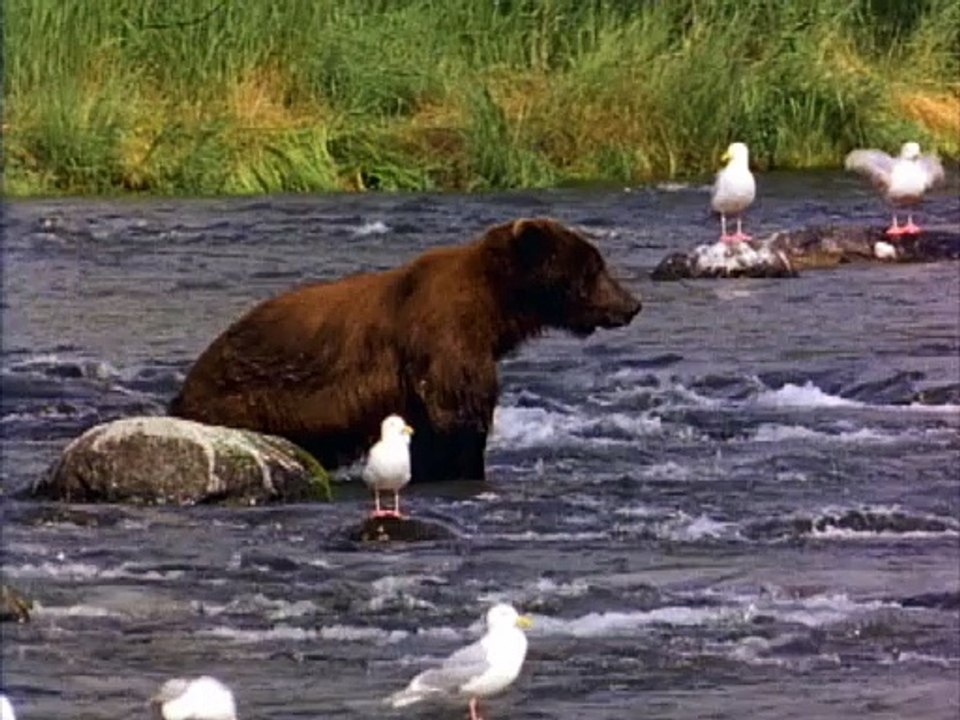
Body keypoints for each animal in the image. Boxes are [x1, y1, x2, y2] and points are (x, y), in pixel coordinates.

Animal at [168, 217, 642, 483]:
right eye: (595, 268)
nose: (632, 304)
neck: (497, 310)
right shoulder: (443, 338)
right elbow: (457, 419)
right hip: (249, 399)